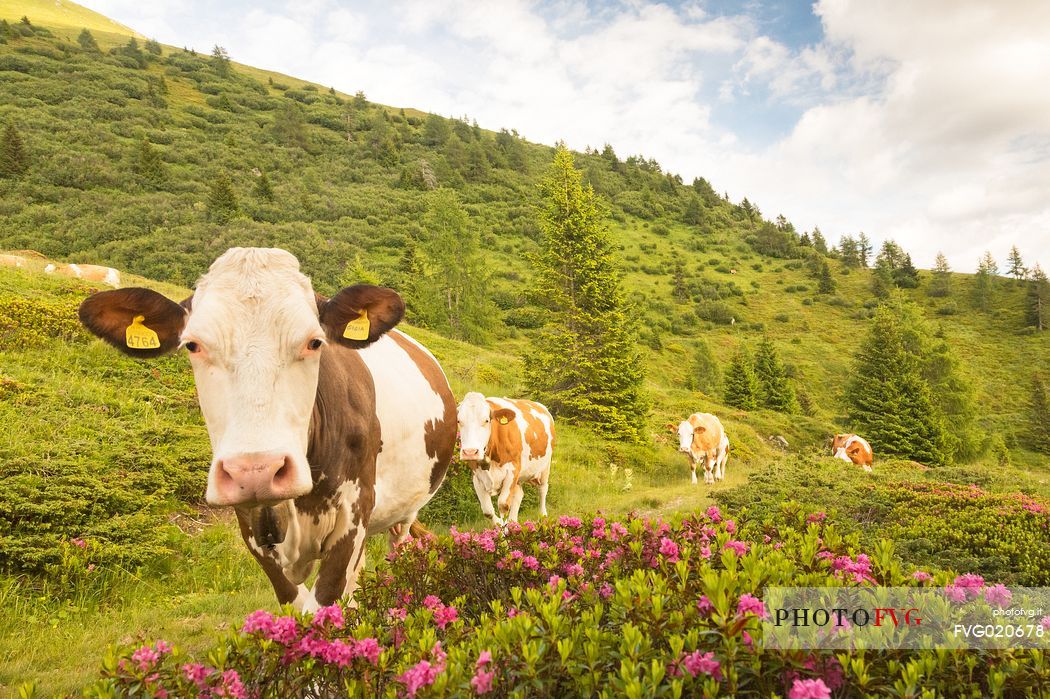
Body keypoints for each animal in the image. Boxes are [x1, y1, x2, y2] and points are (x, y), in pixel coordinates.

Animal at [77, 247, 455, 608]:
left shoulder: (355, 512)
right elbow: (295, 603)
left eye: (314, 342)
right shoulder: (251, 524)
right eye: (193, 345)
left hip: (404, 512)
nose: (256, 471)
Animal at [459, 392, 558, 522]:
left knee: (542, 489)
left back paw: (543, 516)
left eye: (486, 420)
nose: (470, 452)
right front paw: (500, 526)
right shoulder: (477, 476)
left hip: (545, 466)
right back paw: (513, 522)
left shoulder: (512, 471)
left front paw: (504, 527)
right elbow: (488, 511)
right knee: (519, 494)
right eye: (459, 421)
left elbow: (503, 505)